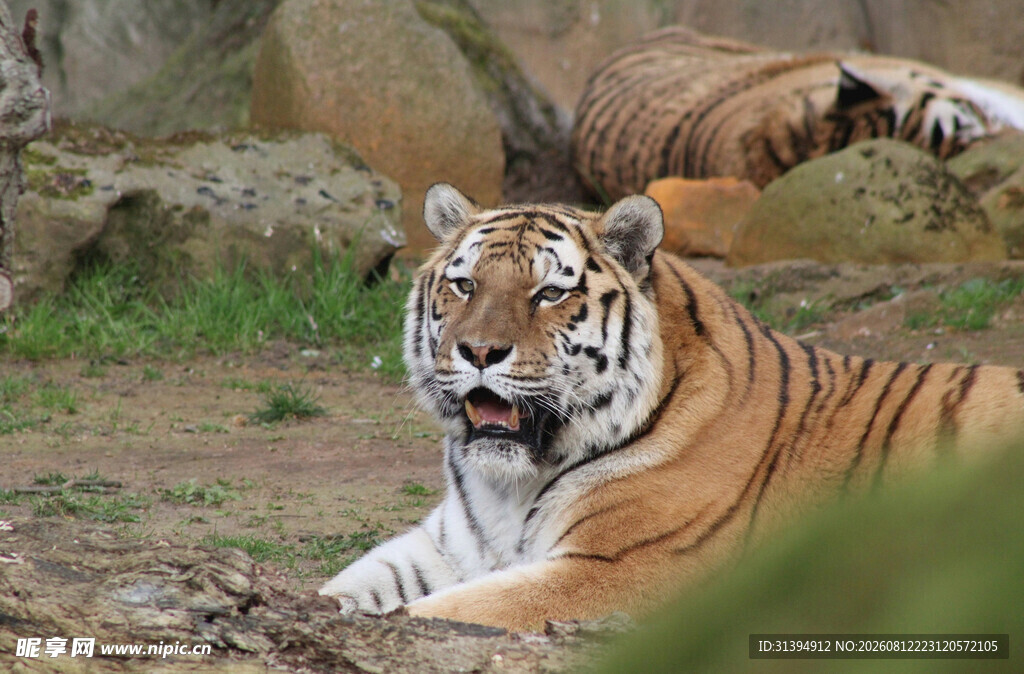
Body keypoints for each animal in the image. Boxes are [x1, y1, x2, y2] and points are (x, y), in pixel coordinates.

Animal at [319, 182, 1024, 631]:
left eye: (550, 293)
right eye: (464, 284)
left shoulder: (612, 572)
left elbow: (439, 612)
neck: (509, 486)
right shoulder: (448, 547)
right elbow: (349, 587)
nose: (479, 351)